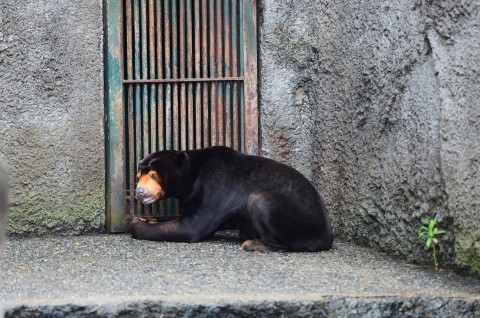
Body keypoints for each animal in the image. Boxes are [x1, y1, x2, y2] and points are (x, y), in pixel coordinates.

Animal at [131, 145, 334, 252]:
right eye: (138, 176)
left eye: (154, 175)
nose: (140, 192)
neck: (192, 173)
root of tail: (327, 235)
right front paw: (147, 219)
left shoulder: (214, 185)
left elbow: (190, 227)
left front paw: (137, 224)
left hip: (292, 217)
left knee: (261, 204)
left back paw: (252, 243)